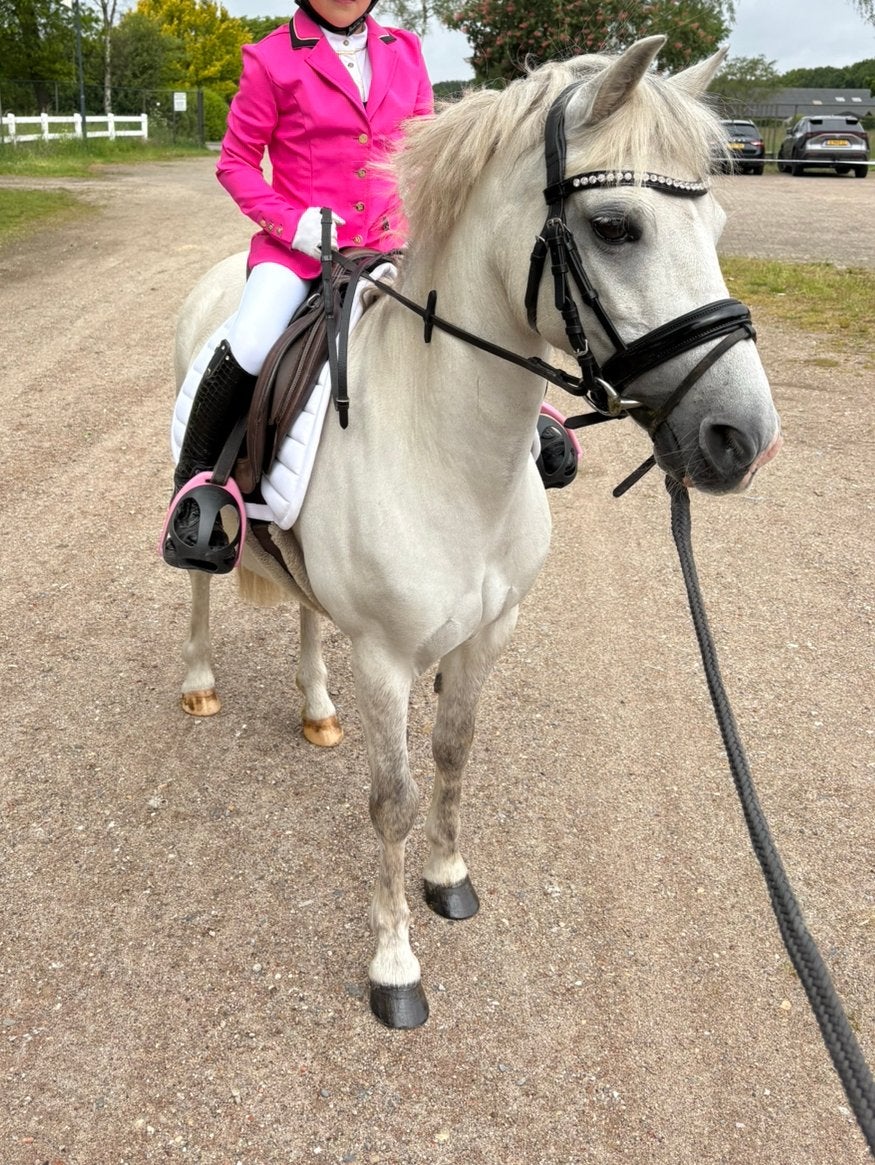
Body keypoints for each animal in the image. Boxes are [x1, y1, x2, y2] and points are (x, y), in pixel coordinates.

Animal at [169, 36, 782, 1029]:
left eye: (718, 225)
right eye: (615, 227)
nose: (744, 437)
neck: (454, 456)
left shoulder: (491, 630)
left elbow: (455, 754)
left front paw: (449, 876)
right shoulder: (386, 658)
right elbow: (391, 798)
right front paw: (393, 966)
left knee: (306, 611)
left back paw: (316, 707)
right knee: (197, 582)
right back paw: (197, 682)